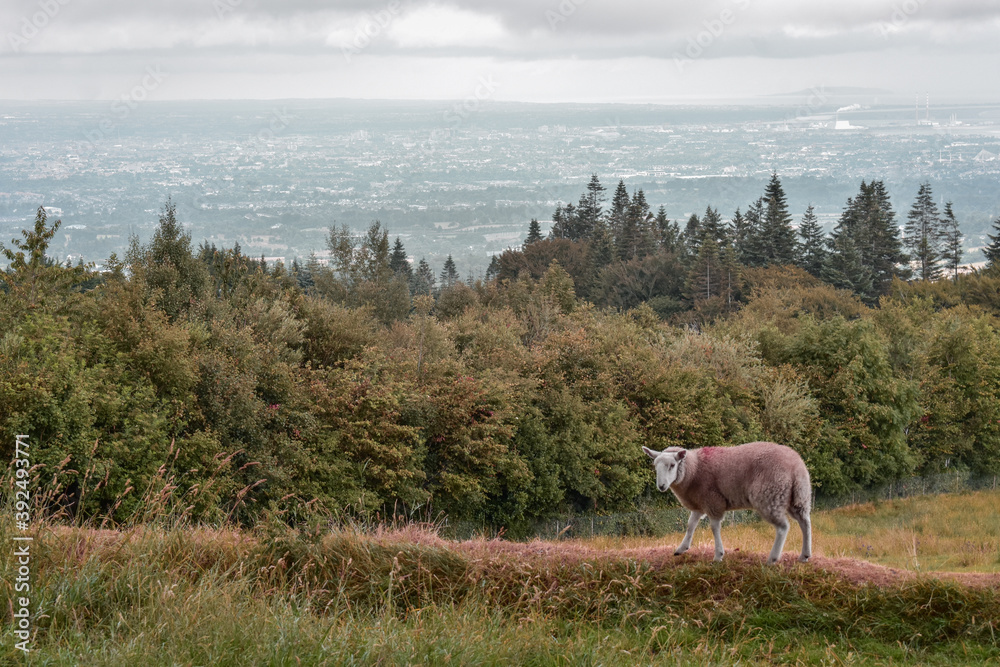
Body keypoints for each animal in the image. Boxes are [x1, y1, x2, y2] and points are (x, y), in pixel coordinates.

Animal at [642, 441, 812, 564]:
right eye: (655, 466)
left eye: (672, 465)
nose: (661, 486)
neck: (694, 470)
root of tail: (796, 467)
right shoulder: (699, 503)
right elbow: (690, 525)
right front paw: (682, 548)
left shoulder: (713, 501)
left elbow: (714, 527)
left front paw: (718, 555)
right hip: (798, 497)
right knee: (805, 523)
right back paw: (804, 555)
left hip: (770, 495)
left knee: (783, 527)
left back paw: (773, 558)